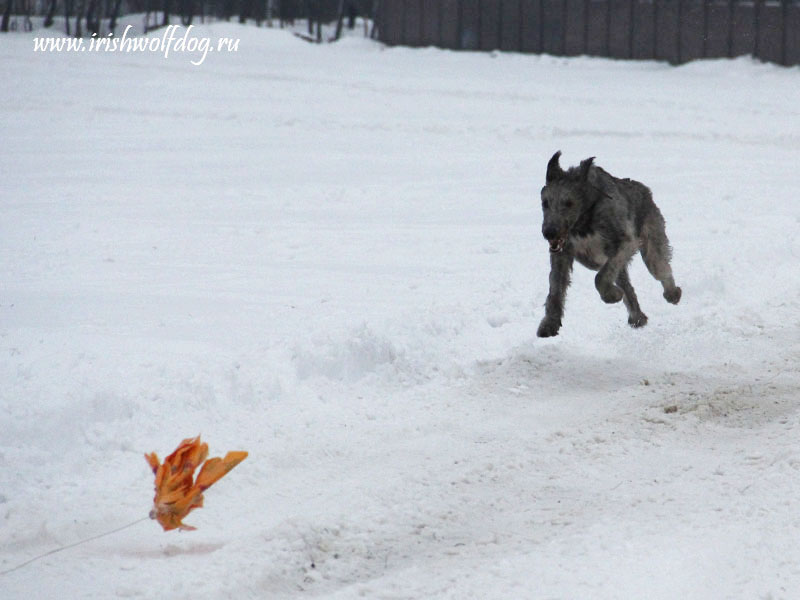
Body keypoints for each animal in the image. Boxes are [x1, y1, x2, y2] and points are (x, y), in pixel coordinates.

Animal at [536, 150, 680, 338]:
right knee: (627, 285)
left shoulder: (625, 242)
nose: (549, 232)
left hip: (652, 242)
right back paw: (637, 317)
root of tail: (645, 190)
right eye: (545, 203)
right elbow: (555, 288)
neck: (584, 220)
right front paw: (549, 323)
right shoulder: (562, 253)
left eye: (569, 203)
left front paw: (612, 295)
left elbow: (600, 278)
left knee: (662, 269)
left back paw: (672, 293)